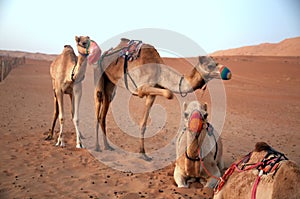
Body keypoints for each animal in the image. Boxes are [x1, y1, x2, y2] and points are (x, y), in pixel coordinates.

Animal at [95, 38, 231, 160]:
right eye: (210, 65)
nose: (228, 72)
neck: (159, 71)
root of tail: (105, 54)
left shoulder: (152, 94)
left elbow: (143, 124)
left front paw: (143, 154)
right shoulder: (142, 87)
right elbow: (168, 93)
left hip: (111, 83)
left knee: (104, 110)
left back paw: (107, 146)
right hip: (99, 74)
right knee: (98, 102)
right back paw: (98, 147)